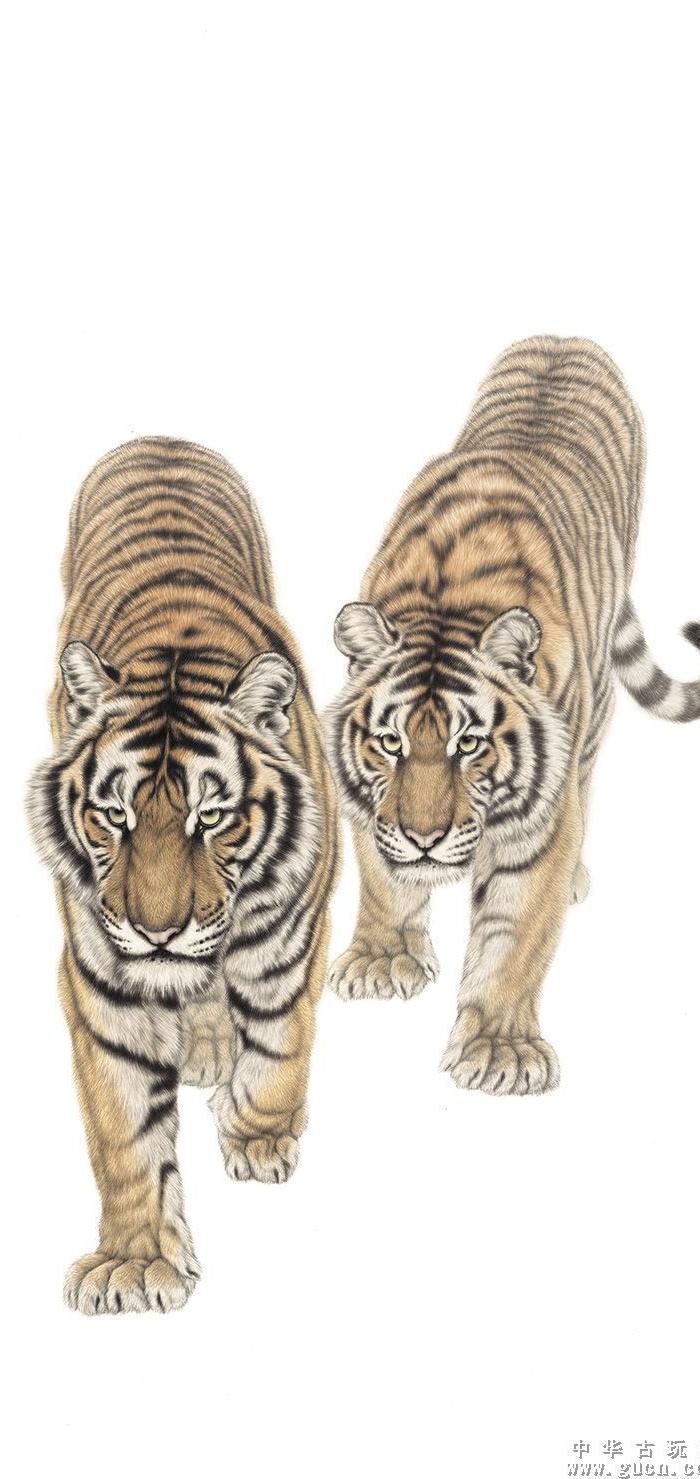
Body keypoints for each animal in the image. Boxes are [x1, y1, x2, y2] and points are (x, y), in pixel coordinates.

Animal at [27, 437, 337, 1314]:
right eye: (114, 816)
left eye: (213, 818)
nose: (157, 930)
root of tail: (157, 437)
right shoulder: (102, 979)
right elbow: (125, 1130)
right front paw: (135, 1262)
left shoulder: (291, 936)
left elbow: (282, 1045)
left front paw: (259, 1138)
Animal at [325, 336, 700, 1096]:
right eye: (389, 743)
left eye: (471, 744)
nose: (427, 839)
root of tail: (565, 335)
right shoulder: (368, 800)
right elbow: (382, 879)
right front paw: (382, 959)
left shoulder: (542, 822)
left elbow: (516, 934)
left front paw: (499, 1049)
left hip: (596, 703)